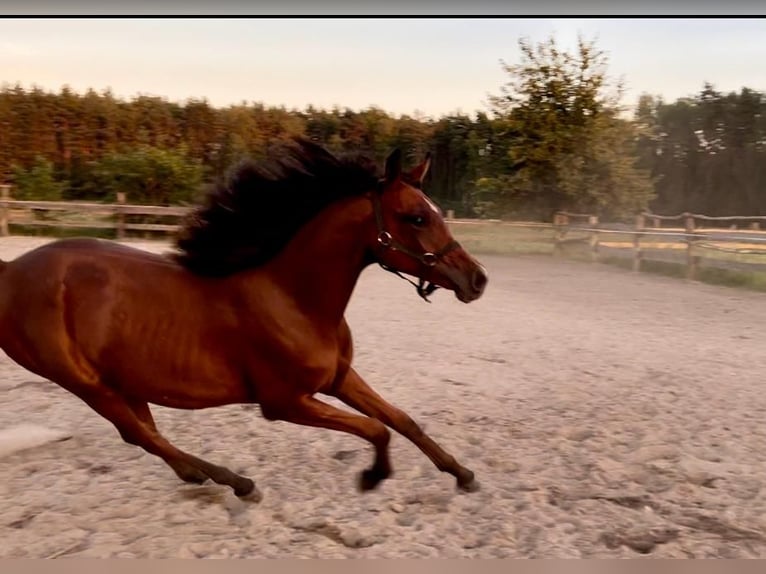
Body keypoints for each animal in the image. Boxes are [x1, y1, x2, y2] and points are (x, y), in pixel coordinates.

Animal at [0, 137, 492, 502]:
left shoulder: (339, 378)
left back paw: (204, 477)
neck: (294, 300)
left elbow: (402, 420)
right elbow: (376, 429)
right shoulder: (284, 403)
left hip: (121, 378)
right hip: (85, 383)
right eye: (416, 217)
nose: (477, 280)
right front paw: (372, 478)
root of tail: (11, 270)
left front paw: (463, 474)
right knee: (140, 434)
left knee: (141, 432)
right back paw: (237, 482)